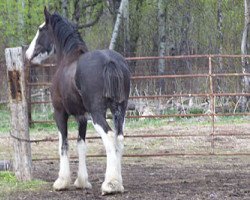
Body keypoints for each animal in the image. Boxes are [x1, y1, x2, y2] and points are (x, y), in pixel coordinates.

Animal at [25, 8, 131, 195]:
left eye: (40, 29)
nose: (28, 54)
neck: (68, 58)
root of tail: (110, 61)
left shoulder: (60, 113)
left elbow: (63, 144)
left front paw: (62, 181)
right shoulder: (82, 117)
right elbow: (81, 145)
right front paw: (82, 181)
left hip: (98, 114)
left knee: (109, 136)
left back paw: (110, 184)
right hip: (120, 110)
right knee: (119, 138)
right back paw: (118, 183)